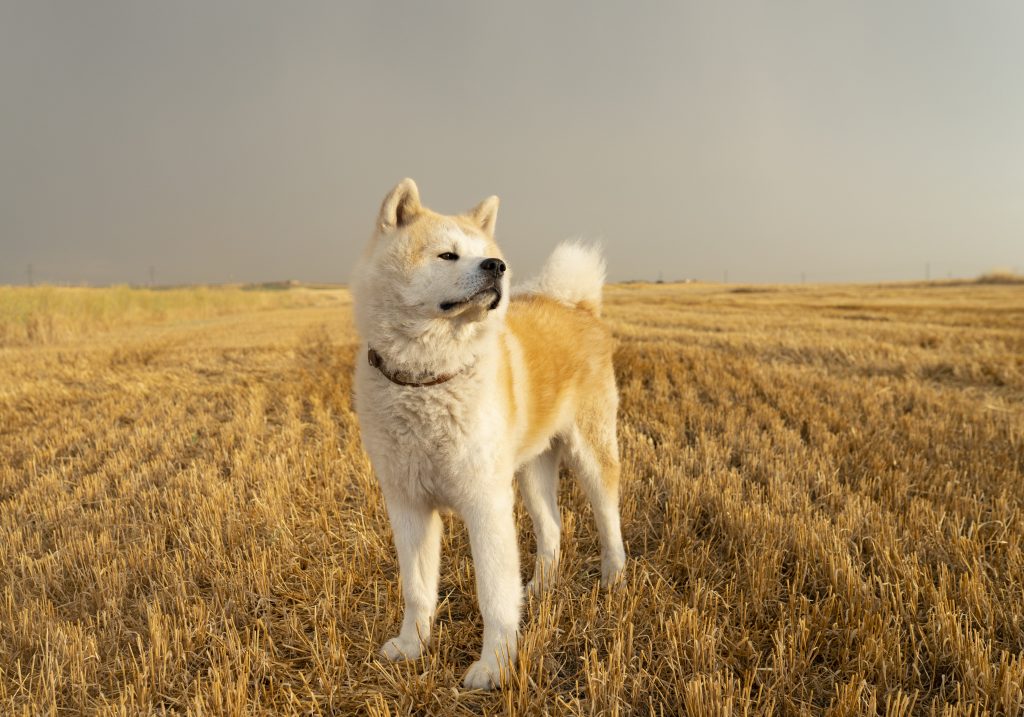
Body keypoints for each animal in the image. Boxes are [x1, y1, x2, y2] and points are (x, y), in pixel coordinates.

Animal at [352, 178, 622, 688]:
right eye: (447, 255)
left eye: (487, 256)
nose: (497, 267)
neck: (428, 380)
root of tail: (576, 306)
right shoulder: (408, 505)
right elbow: (417, 589)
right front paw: (412, 647)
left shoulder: (485, 503)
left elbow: (494, 595)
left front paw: (493, 667)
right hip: (532, 472)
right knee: (552, 529)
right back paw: (539, 588)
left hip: (590, 454)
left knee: (607, 516)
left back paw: (615, 578)